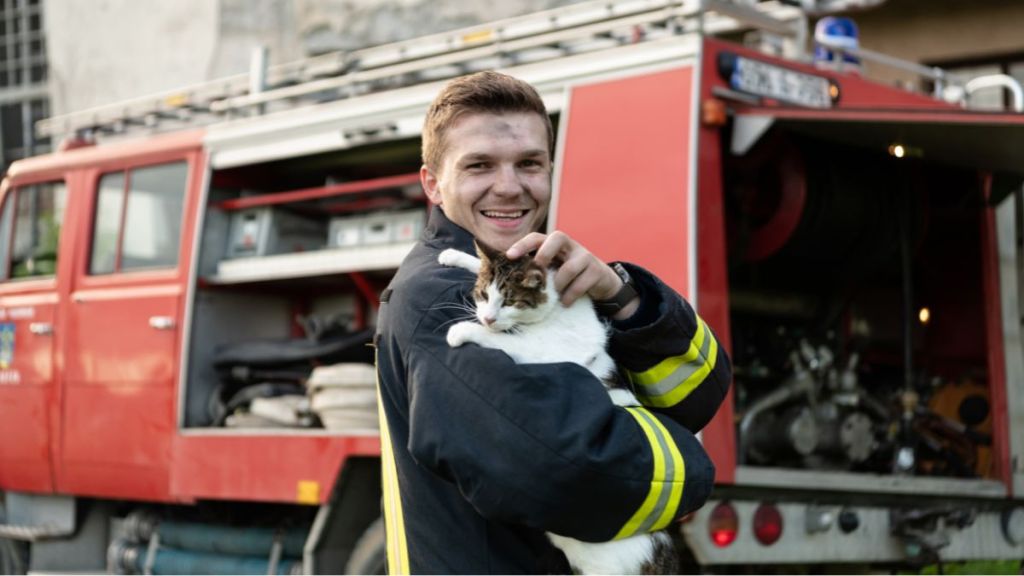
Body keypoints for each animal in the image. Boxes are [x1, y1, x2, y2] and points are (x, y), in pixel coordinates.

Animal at [436, 241, 675, 573]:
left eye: (510, 301)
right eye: (483, 294)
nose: (487, 319)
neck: (555, 304)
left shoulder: (543, 349)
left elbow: (503, 341)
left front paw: (462, 330)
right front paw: (458, 257)